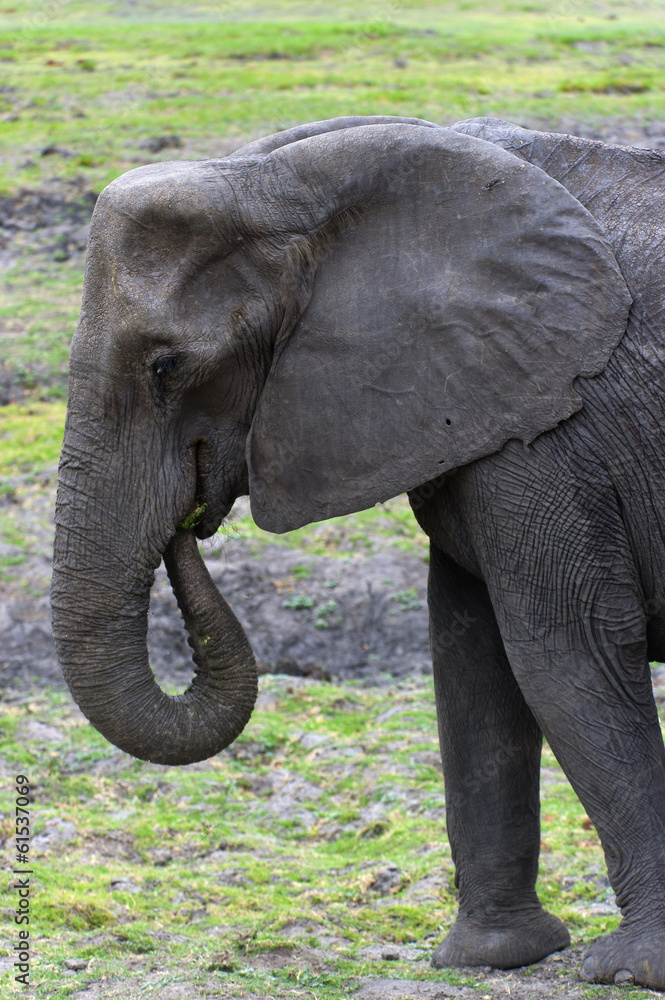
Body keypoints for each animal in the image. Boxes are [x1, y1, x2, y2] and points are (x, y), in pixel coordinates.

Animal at [50, 113, 665, 989]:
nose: (189, 518)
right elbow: (470, 656)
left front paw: (632, 970)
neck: (274, 183)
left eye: (166, 366)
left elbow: (564, 650)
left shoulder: (556, 426)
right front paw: (490, 958)